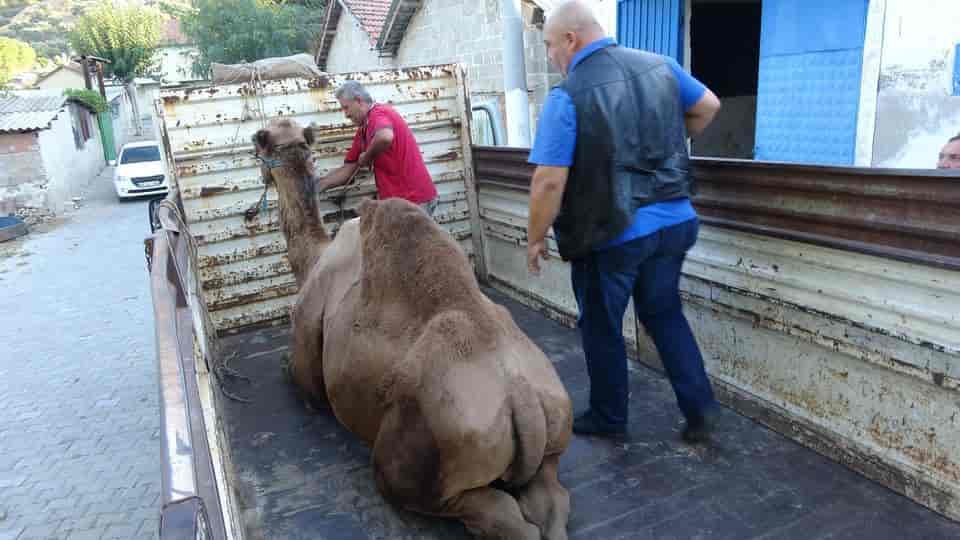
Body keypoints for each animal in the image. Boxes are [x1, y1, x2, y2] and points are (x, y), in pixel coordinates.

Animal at [251, 119, 572, 540]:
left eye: (259, 143)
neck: (315, 259)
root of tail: (523, 398)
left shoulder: (308, 352)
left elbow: (294, 374)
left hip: (429, 454)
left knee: (488, 511)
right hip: (553, 428)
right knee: (550, 498)